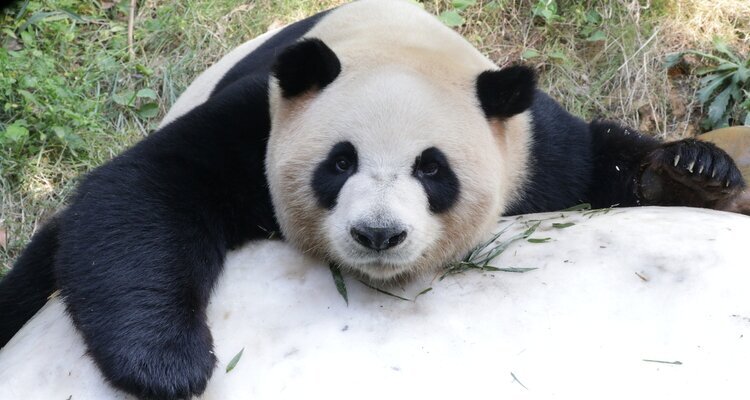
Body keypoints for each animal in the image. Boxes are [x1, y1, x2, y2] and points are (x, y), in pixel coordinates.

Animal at [0, 0, 746, 399]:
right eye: (340, 163)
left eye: (433, 170)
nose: (378, 235)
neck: (399, 48)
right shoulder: (263, 118)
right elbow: (148, 187)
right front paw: (167, 362)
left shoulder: (528, 146)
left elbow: (599, 163)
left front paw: (695, 171)